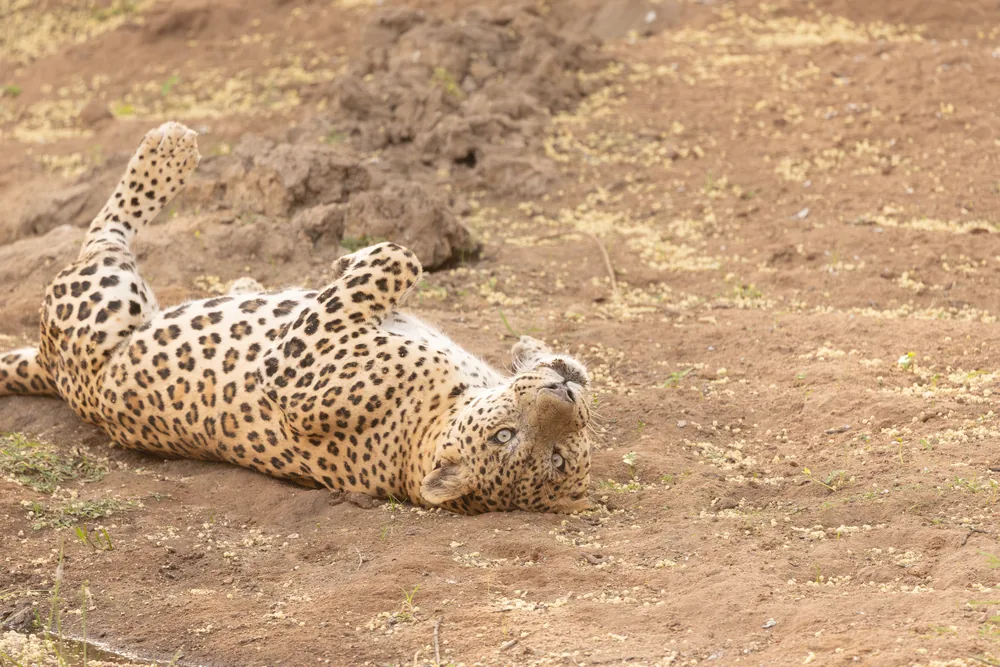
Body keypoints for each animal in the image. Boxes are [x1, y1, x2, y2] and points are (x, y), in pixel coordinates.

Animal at [0, 122, 594, 514]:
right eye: (505, 436)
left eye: (555, 458)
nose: (562, 392)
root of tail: (53, 373)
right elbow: (389, 265)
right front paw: (539, 354)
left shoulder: (296, 369)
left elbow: (399, 256)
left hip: (103, 300)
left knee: (105, 234)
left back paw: (168, 149)